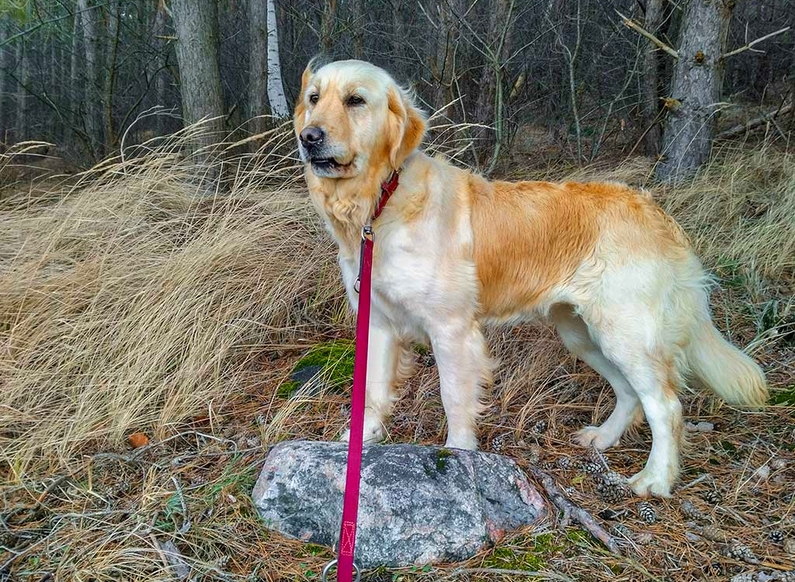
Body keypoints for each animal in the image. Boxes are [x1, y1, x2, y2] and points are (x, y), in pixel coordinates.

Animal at [294, 58, 772, 498]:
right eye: (314, 98)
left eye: (356, 100)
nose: (309, 137)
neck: (378, 202)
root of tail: (656, 211)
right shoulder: (377, 322)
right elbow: (372, 392)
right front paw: (357, 444)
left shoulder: (451, 330)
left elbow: (454, 398)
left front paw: (457, 455)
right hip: (581, 333)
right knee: (630, 393)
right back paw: (602, 438)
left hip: (626, 333)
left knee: (666, 405)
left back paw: (654, 479)